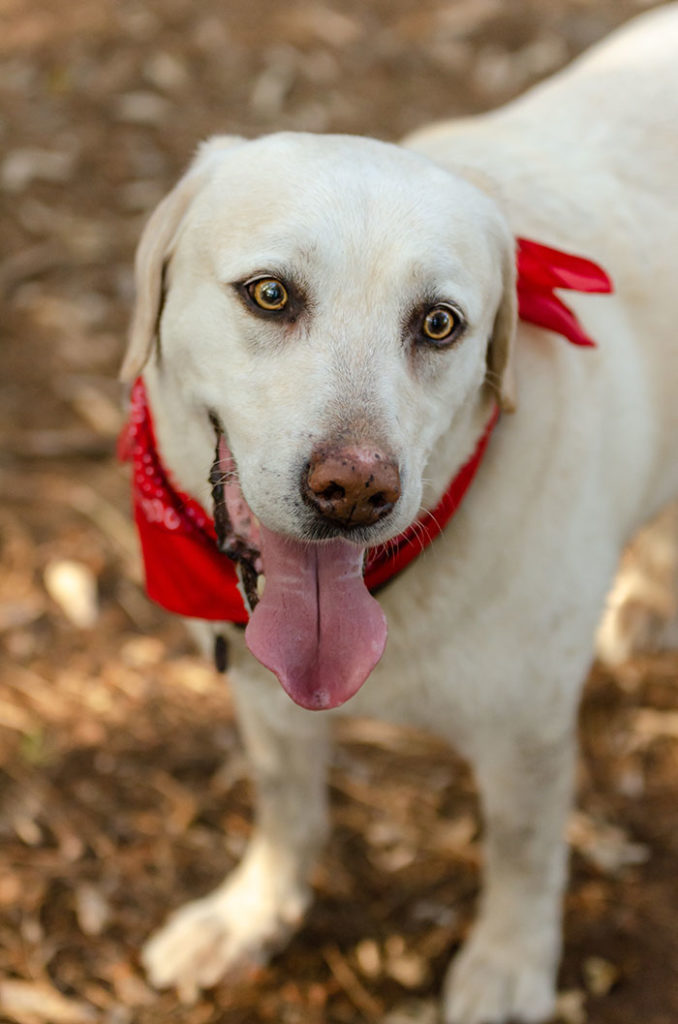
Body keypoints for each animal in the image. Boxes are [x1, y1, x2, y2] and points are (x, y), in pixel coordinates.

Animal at [119, 6, 678, 1015]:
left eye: (440, 323)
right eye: (270, 294)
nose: (355, 492)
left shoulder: (529, 733)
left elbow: (525, 856)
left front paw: (508, 966)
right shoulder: (265, 701)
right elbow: (288, 811)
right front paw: (251, 915)